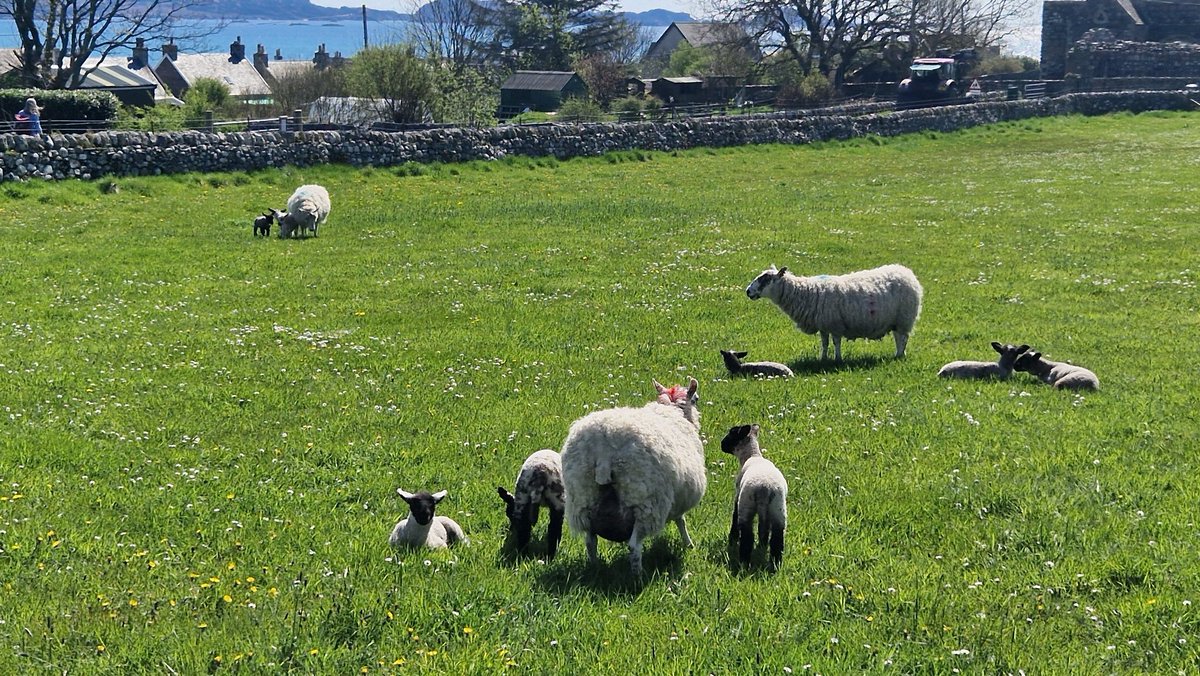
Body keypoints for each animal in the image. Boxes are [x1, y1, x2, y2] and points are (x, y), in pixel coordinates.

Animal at [560, 377, 707, 575]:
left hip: (582, 499)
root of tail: (604, 448)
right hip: (645, 501)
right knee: (634, 546)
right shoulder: (677, 496)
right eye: (696, 399)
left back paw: (595, 570)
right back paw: (638, 576)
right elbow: (680, 520)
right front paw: (689, 544)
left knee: (590, 542)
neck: (673, 409)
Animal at [720, 424, 787, 569]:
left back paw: (744, 562)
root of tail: (765, 489)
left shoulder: (738, 494)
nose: (721, 444)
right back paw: (775, 565)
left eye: (731, 433)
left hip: (747, 504)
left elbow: (734, 516)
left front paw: (732, 540)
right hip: (778, 508)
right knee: (777, 538)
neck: (753, 455)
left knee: (747, 537)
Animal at [745, 264, 923, 362]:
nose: (748, 291)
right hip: (896, 320)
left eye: (766, 278)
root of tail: (907, 273)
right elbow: (824, 343)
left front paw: (837, 359)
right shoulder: (823, 325)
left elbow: (836, 342)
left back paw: (900, 355)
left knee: (903, 339)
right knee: (898, 337)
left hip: (905, 318)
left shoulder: (835, 324)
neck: (807, 293)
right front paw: (822, 358)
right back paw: (898, 354)